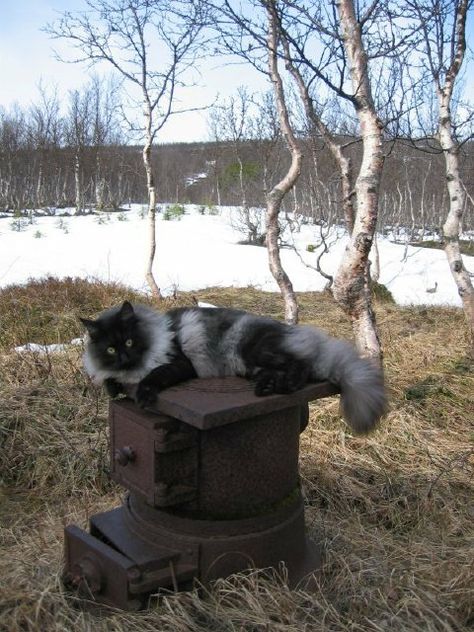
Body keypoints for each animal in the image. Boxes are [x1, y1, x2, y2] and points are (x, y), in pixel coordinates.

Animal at [80, 302, 386, 434]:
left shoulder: (180, 363)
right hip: (251, 365)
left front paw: (143, 393)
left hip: (255, 350)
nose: (123, 357)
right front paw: (114, 385)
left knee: (302, 367)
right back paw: (266, 388)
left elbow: (154, 375)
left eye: (129, 341)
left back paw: (285, 385)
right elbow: (110, 384)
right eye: (110, 349)